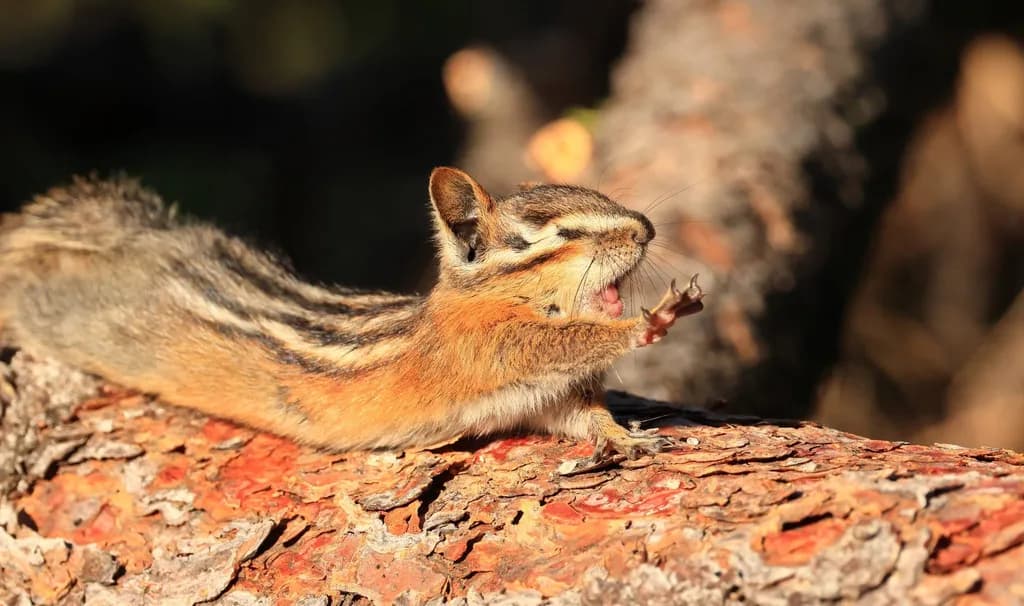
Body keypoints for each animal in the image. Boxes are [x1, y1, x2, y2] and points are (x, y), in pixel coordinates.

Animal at [0, 167, 704, 459]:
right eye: (560, 236)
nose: (647, 228)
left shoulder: (547, 397)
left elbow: (582, 416)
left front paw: (623, 435)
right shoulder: (488, 349)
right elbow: (567, 342)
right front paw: (651, 321)